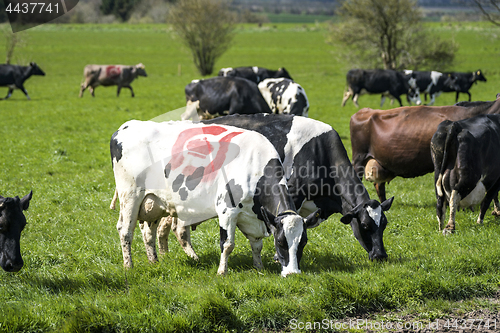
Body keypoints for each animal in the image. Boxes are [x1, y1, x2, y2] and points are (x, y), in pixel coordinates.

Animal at [109, 119, 320, 274]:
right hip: (130, 196)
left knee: (149, 232)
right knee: (125, 231)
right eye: (281, 242)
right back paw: (129, 266)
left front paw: (259, 267)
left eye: (303, 243)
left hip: (154, 203)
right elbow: (227, 244)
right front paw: (222, 271)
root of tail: (125, 127)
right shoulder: (227, 210)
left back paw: (154, 262)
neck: (255, 165)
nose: (293, 273)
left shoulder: (254, 217)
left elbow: (256, 244)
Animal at [152, 114, 394, 262]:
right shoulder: (292, 193)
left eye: (384, 225)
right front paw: (281, 257)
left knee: (167, 226)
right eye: (364, 225)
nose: (381, 256)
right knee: (174, 227)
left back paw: (167, 257)